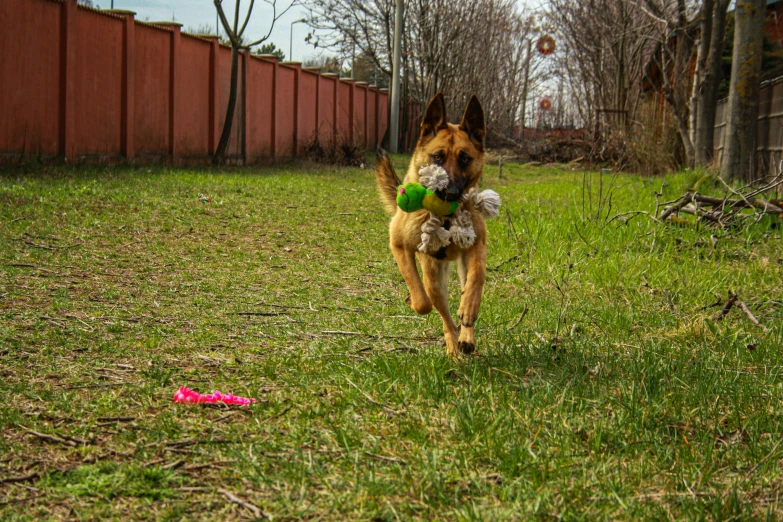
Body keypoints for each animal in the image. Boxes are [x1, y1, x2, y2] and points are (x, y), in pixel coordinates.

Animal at [376, 91, 486, 356]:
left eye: (465, 159)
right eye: (437, 157)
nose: (450, 193)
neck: (445, 220)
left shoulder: (478, 245)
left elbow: (477, 275)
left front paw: (469, 309)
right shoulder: (399, 246)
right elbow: (421, 301)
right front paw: (412, 300)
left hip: (460, 265)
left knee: (464, 291)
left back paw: (466, 336)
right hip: (434, 278)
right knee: (443, 312)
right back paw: (454, 347)